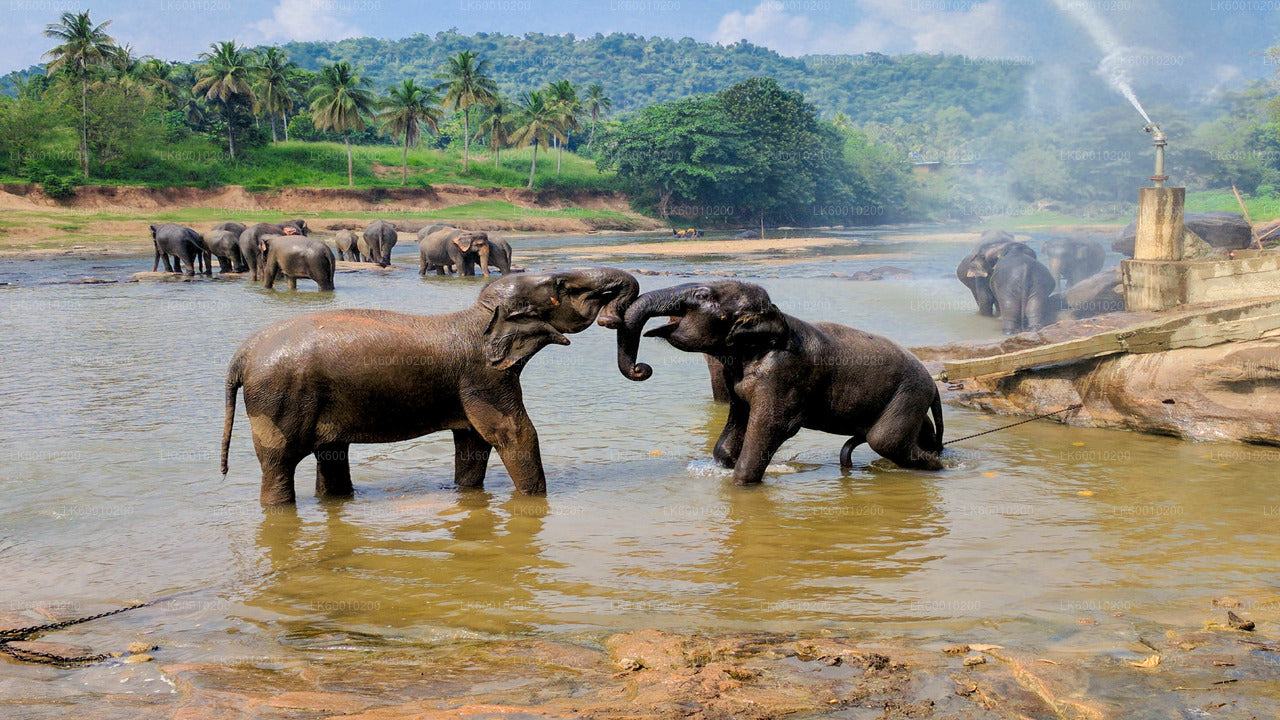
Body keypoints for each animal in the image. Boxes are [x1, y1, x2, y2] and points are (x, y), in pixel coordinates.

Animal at [222, 266, 640, 502]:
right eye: (560, 284)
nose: (609, 318)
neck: (477, 317)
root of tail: (242, 354)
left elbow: (474, 442)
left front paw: (466, 495)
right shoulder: (483, 376)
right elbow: (514, 433)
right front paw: (535, 501)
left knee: (332, 455)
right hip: (279, 399)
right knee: (278, 464)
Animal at [614, 279, 947, 481]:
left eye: (702, 295)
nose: (641, 369)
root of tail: (934, 385)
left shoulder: (783, 374)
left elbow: (772, 426)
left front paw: (741, 483)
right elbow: (736, 424)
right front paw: (727, 463)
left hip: (908, 394)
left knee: (885, 440)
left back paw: (938, 469)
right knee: (918, 434)